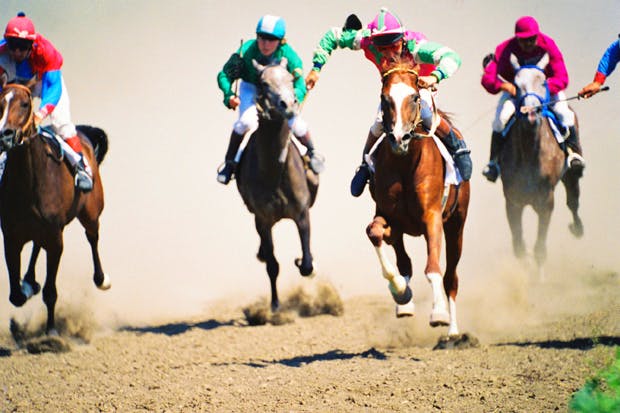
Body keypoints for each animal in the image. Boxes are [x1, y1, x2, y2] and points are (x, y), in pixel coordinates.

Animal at [0, 82, 110, 335]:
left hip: (90, 213)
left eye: (25, 104)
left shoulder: (55, 238)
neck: (28, 182)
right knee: (37, 246)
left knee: (93, 238)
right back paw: (30, 280)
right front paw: (28, 286)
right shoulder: (11, 237)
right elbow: (15, 296)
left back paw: (101, 279)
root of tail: (83, 133)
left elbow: (50, 291)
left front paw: (51, 331)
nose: (5, 135)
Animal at [235, 59, 318, 311]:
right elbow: (272, 265)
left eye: (291, 78)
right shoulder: (263, 219)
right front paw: (275, 306)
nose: (289, 104)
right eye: (263, 83)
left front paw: (302, 261)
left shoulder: (301, 213)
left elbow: (307, 263)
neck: (274, 172)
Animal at [366, 63, 470, 336]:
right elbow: (375, 234)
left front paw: (439, 313)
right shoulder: (390, 217)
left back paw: (453, 331)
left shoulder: (432, 217)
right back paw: (404, 301)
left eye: (414, 97)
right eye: (384, 99)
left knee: (451, 277)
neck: (405, 162)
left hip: (456, 225)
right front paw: (401, 293)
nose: (399, 138)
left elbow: (433, 269)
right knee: (405, 262)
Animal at [499, 54, 583, 274]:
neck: (530, 153)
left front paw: (538, 276)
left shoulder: (546, 202)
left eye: (543, 81)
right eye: (516, 84)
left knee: (573, 201)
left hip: (570, 175)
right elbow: (519, 246)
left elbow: (539, 248)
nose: (530, 113)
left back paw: (577, 228)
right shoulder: (512, 201)